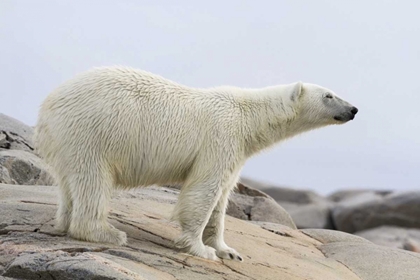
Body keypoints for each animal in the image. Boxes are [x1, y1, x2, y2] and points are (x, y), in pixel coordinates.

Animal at [34, 66, 360, 262]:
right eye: (329, 95)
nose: (354, 109)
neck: (249, 116)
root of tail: (47, 106)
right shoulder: (221, 137)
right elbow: (204, 190)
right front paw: (200, 249)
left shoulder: (237, 149)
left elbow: (222, 198)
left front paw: (228, 251)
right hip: (93, 131)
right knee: (93, 180)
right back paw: (106, 232)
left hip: (67, 139)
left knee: (68, 183)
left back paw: (63, 223)